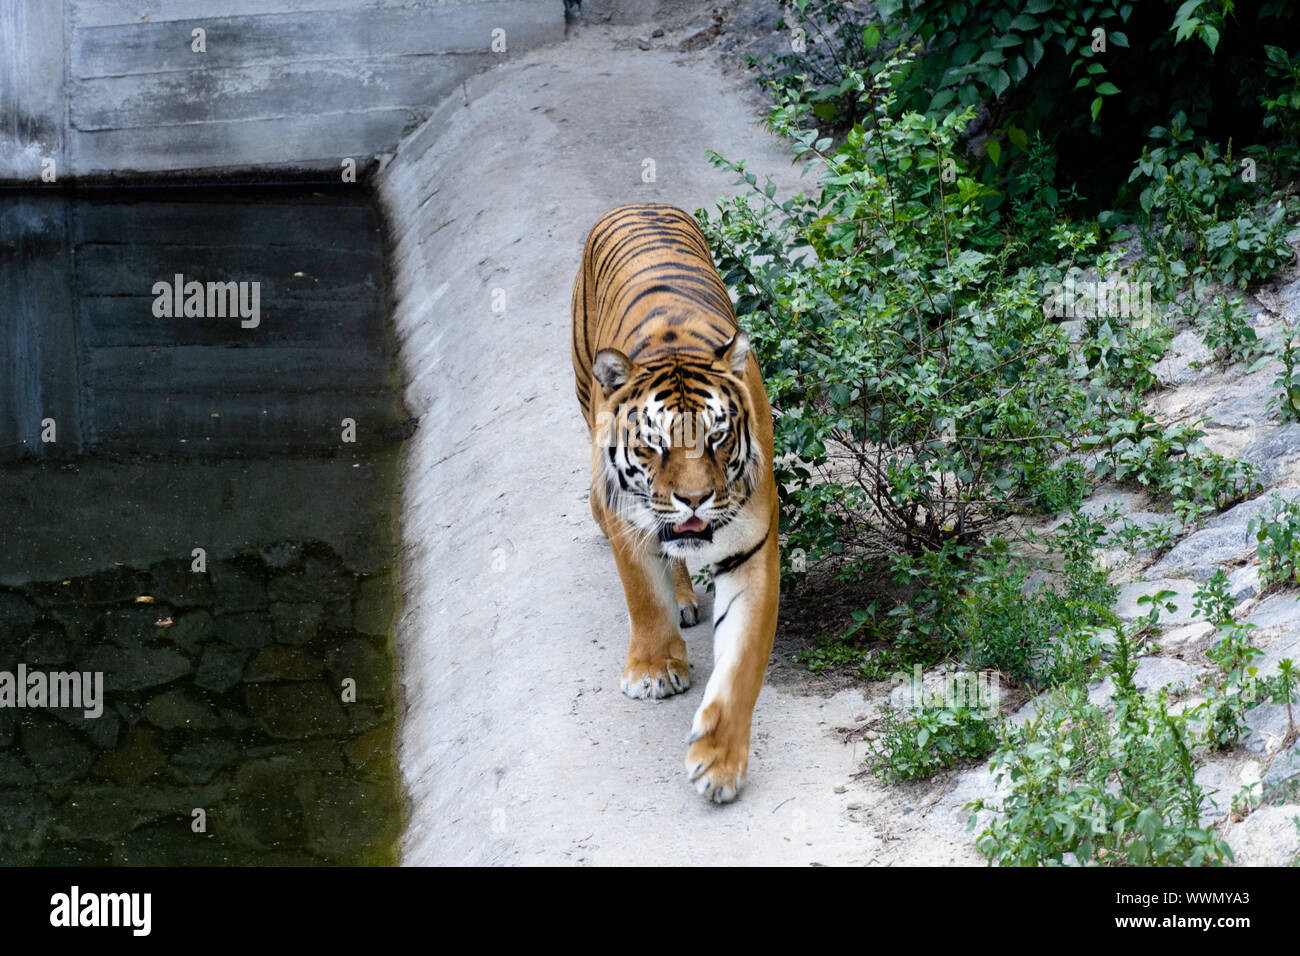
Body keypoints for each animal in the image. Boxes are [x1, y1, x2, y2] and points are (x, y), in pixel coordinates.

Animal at [570, 202, 780, 803]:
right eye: (655, 444)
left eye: (717, 437)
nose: (693, 499)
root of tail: (633, 203)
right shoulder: (626, 517)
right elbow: (644, 594)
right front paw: (654, 671)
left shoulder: (752, 548)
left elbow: (741, 660)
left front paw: (720, 763)